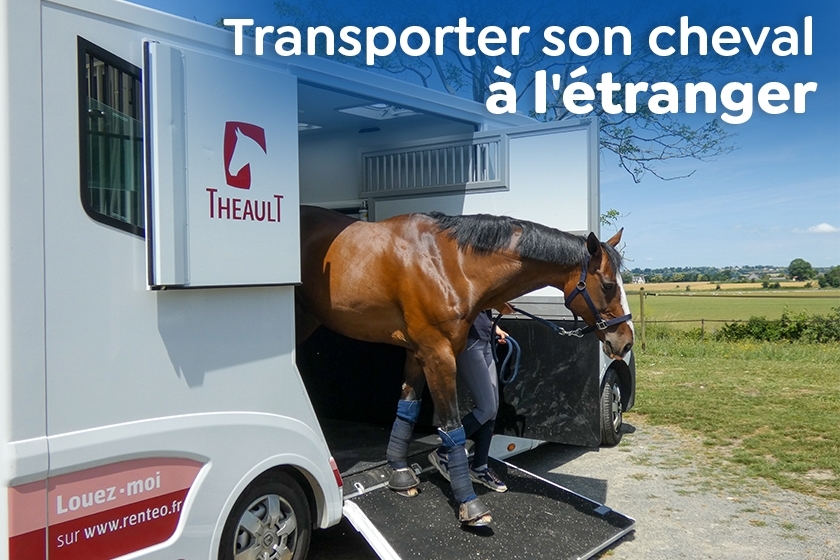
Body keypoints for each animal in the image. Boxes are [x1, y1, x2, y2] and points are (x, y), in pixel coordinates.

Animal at [295, 205, 633, 526]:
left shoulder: (417, 353)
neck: (449, 263)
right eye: (607, 285)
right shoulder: (438, 355)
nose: (626, 342)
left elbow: (407, 410)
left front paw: (401, 474)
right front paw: (470, 505)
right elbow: (452, 428)